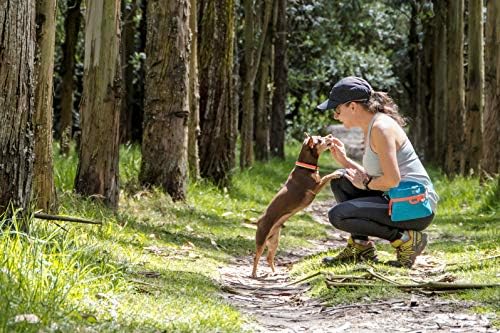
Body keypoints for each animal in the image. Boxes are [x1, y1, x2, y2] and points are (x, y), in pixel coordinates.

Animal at [250, 134, 344, 276]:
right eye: (319, 140)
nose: (330, 136)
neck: (306, 167)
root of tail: (258, 221)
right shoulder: (315, 187)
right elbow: (327, 176)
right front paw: (336, 173)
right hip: (261, 240)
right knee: (256, 257)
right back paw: (254, 274)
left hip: (274, 241)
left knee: (268, 257)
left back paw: (275, 272)